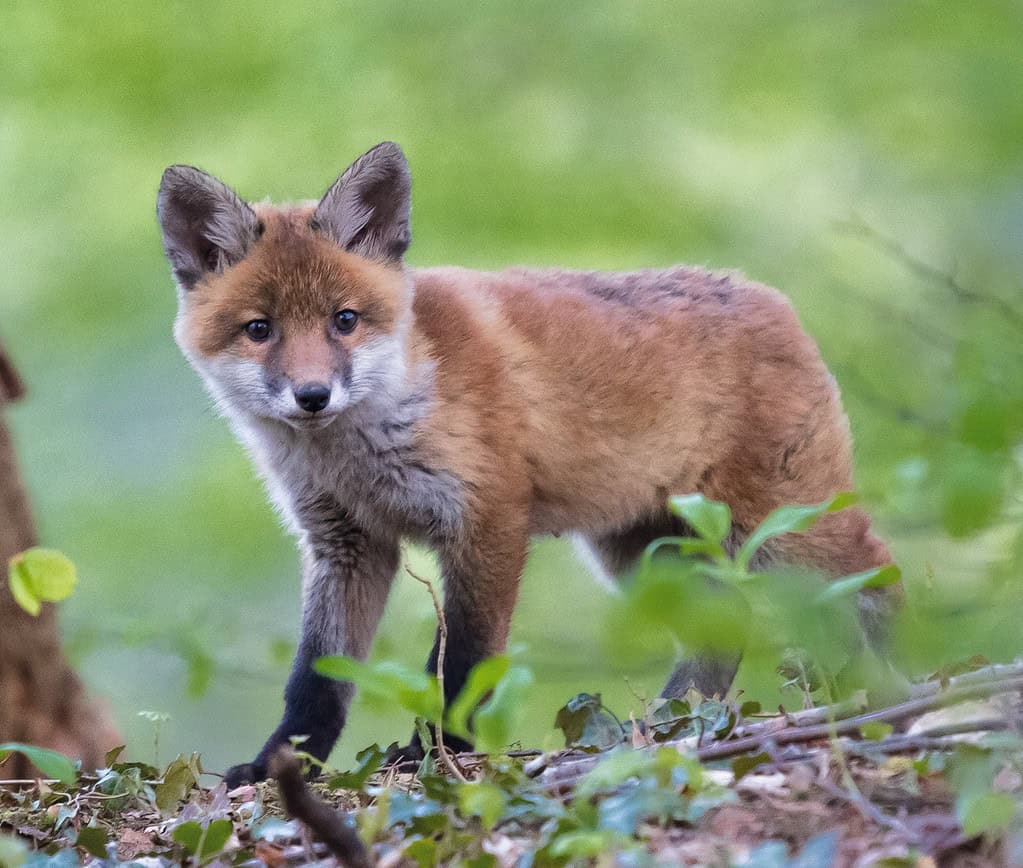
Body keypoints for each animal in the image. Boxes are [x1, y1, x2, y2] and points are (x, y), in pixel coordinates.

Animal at [157, 141, 903, 786]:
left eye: (344, 320)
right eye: (260, 330)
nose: (313, 395)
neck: (360, 451)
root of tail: (768, 297)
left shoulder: (487, 521)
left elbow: (463, 665)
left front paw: (435, 755)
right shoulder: (346, 545)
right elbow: (316, 680)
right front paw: (280, 765)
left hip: (783, 531)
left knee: (878, 579)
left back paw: (893, 682)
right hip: (645, 556)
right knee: (724, 629)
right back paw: (668, 726)